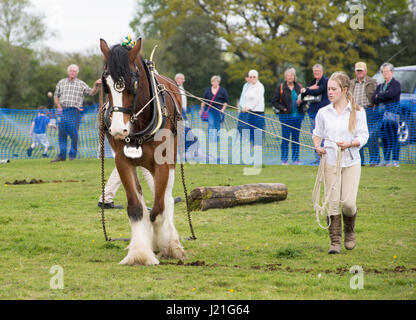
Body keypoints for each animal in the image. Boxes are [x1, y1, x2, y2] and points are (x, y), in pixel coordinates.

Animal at [99, 38, 185, 264]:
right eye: (106, 85)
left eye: (133, 83)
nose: (118, 130)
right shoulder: (123, 162)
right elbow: (137, 208)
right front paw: (140, 253)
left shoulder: (162, 163)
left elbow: (159, 210)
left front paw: (162, 242)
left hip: (170, 159)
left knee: (165, 198)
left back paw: (172, 242)